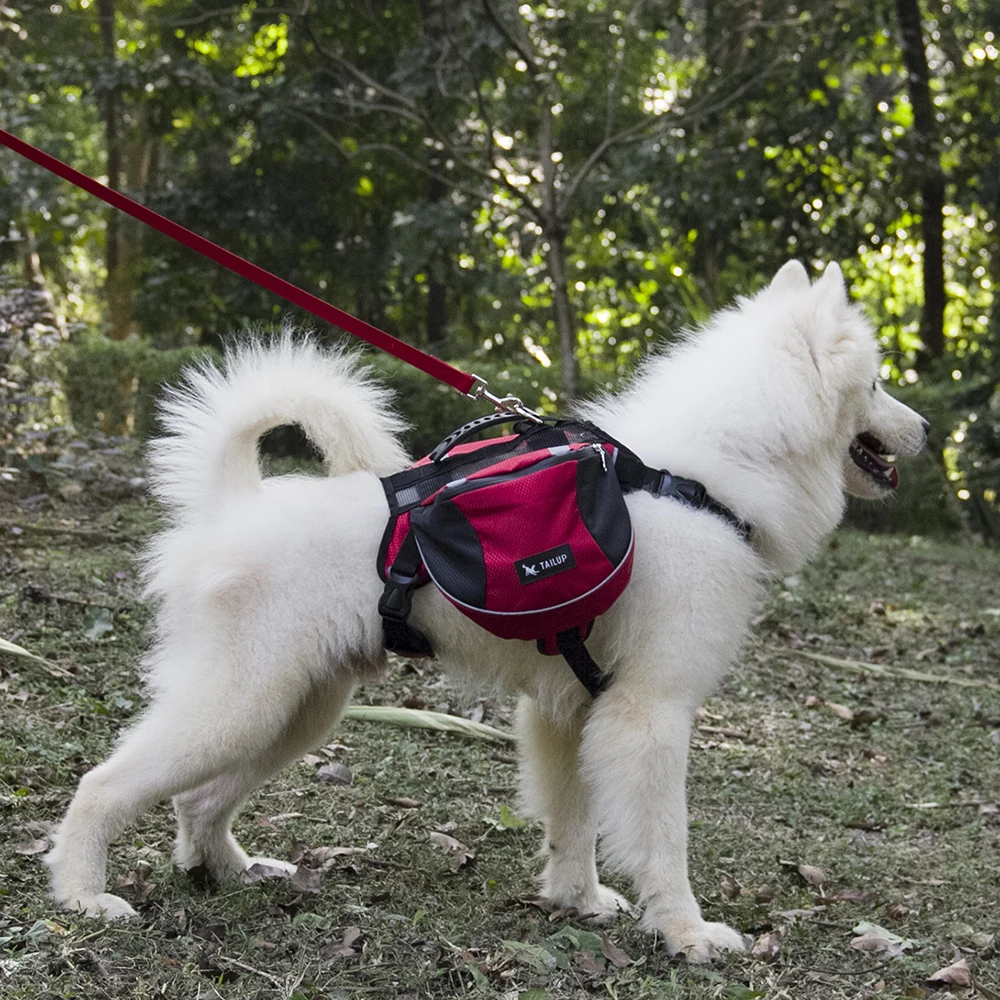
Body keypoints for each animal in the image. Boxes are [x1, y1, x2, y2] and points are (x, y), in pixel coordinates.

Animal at [47, 262, 924, 964]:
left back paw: (231, 871)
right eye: (879, 383)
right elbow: (663, 842)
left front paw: (578, 901)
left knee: (198, 801)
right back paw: (84, 894)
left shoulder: (571, 712)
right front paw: (686, 933)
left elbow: (573, 823)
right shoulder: (651, 715)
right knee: (104, 783)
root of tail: (234, 502)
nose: (927, 430)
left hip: (297, 709)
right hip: (240, 705)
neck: (698, 479)